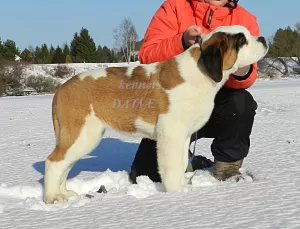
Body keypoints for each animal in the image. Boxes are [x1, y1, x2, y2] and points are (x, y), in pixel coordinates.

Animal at [43, 25, 268, 204]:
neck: (200, 72)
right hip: (81, 134)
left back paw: (65, 194)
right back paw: (53, 198)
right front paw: (177, 193)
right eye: (241, 40)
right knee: (54, 162)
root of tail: (61, 89)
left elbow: (181, 163)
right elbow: (172, 166)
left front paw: (183, 188)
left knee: (64, 164)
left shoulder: (184, 136)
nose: (263, 39)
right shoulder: (171, 133)